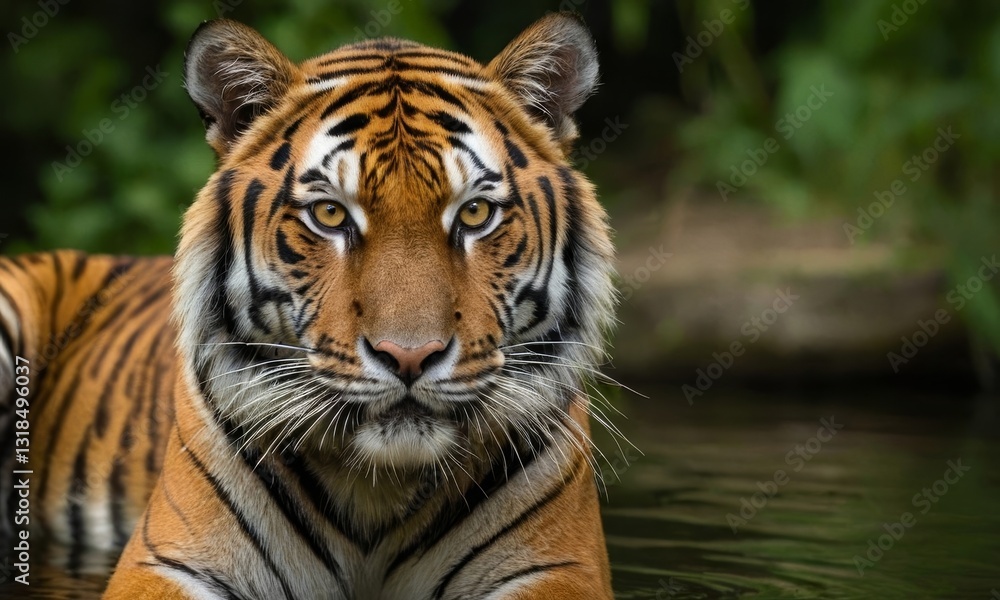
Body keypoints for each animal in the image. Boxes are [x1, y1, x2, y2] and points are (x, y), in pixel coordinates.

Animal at [0, 12, 619, 599]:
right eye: (330, 214)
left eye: (473, 214)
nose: (410, 357)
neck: (377, 488)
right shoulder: (164, 563)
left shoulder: (561, 568)